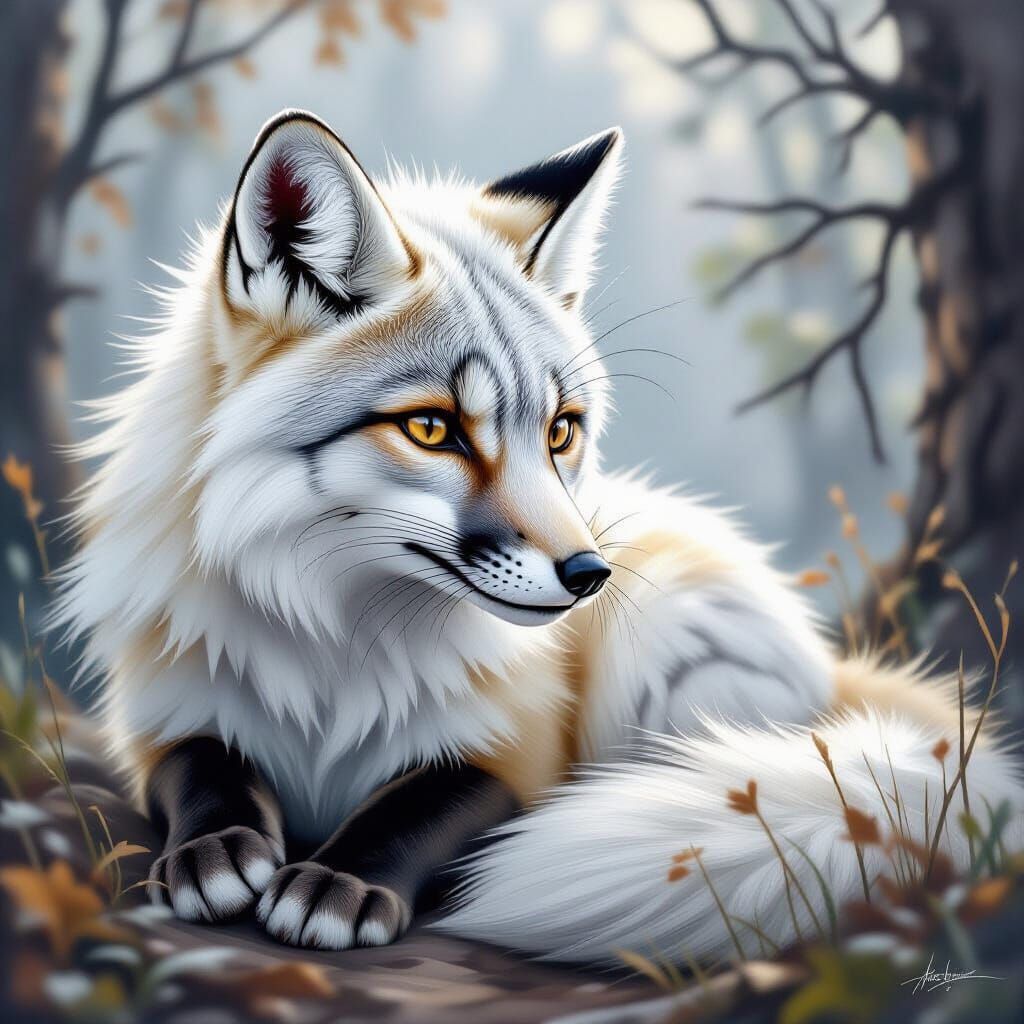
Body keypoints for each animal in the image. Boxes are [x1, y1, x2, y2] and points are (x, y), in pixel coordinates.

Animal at [54, 109, 1022, 964]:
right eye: (434, 430)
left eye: (560, 432)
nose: (591, 574)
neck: (336, 647)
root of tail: (837, 675)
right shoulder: (160, 714)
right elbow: (200, 762)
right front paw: (213, 848)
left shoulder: (522, 753)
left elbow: (424, 802)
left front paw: (343, 881)